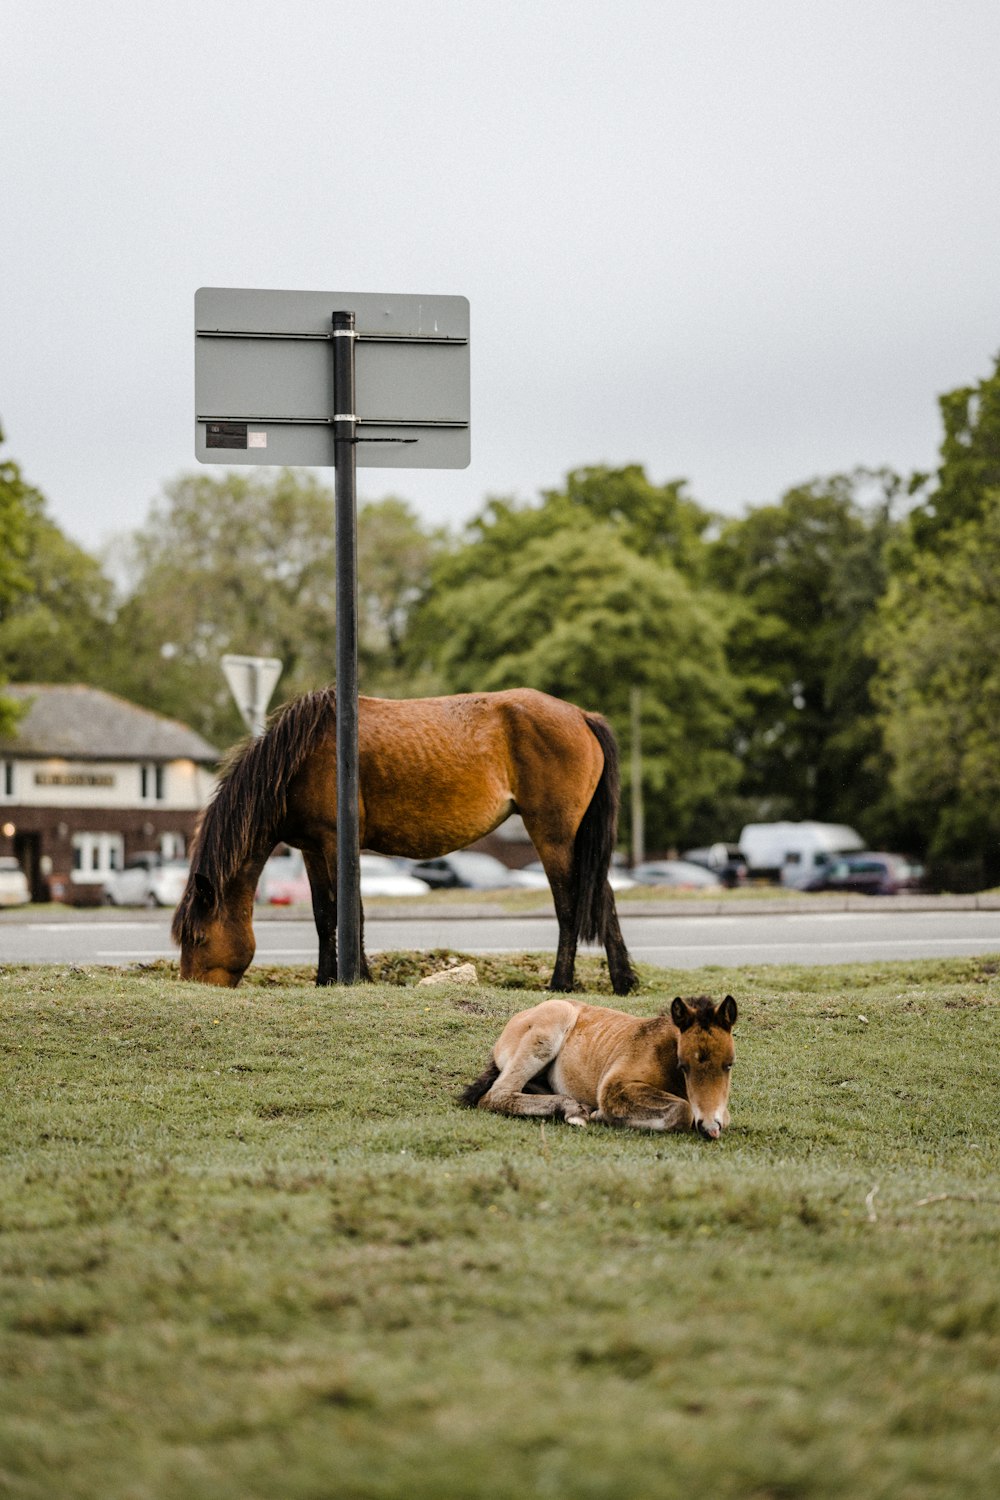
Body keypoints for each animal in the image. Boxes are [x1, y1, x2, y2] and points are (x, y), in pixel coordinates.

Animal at [173, 684, 638, 990]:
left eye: (197, 938)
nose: (193, 986)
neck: (301, 760)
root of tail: (581, 716)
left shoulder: (335, 844)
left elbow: (349, 913)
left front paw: (357, 977)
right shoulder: (311, 850)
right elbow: (325, 916)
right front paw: (326, 980)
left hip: (555, 834)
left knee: (569, 906)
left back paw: (561, 983)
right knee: (604, 897)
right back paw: (623, 981)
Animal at [458, 996, 734, 1134]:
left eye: (729, 1065)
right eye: (683, 1065)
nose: (709, 1127)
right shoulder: (614, 1087)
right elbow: (683, 1111)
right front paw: (603, 1116)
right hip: (551, 1024)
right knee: (498, 1094)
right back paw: (575, 1111)